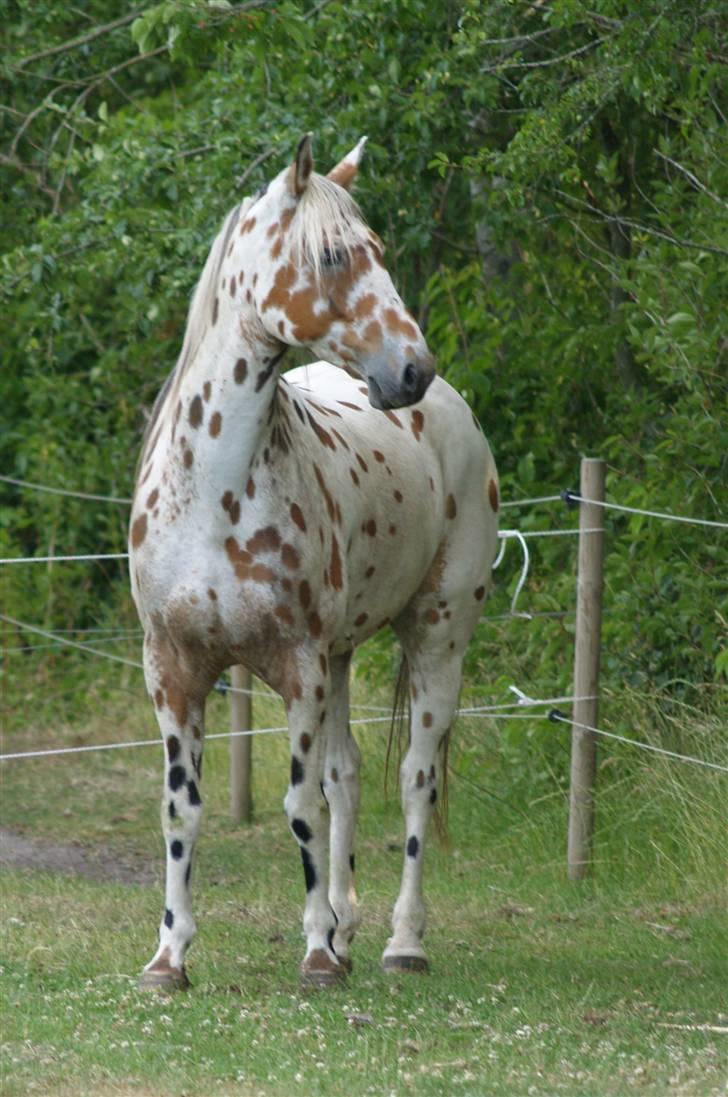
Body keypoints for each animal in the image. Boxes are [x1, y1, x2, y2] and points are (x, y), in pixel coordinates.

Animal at [127, 132, 497, 991]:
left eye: (378, 250)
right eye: (331, 254)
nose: (411, 369)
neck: (216, 489)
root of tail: (454, 412)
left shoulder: (296, 665)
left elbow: (301, 808)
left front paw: (319, 953)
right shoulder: (174, 668)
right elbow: (182, 808)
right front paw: (169, 956)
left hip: (436, 635)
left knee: (414, 779)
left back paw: (399, 941)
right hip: (341, 654)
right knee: (348, 774)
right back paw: (350, 924)